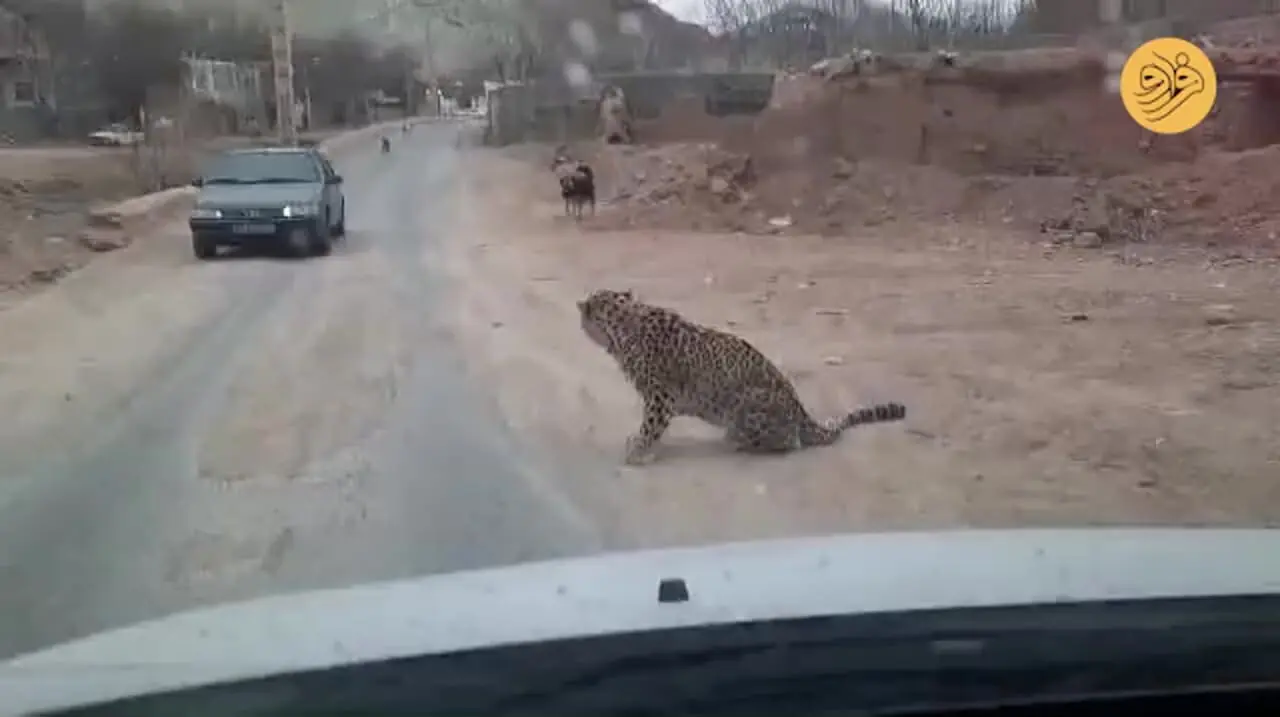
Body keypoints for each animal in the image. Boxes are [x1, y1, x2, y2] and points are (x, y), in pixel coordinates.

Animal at [576, 288, 906, 468]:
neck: (620, 327)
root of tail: (801, 412)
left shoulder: (660, 397)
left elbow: (650, 426)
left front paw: (638, 452)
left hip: (745, 403)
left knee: (791, 441)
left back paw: (740, 441)